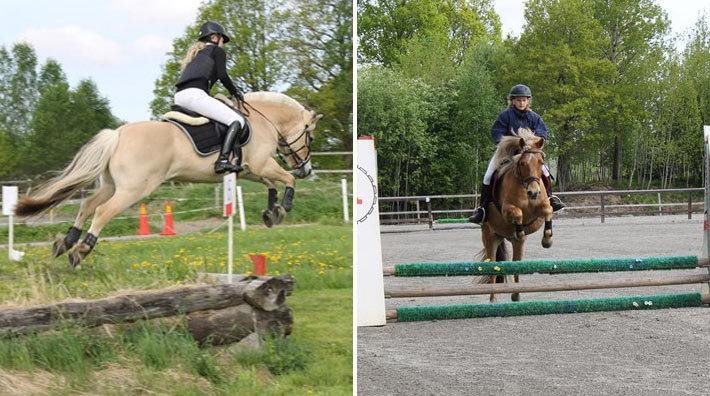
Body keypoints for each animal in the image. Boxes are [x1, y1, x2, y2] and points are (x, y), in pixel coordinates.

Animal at [15, 91, 324, 268]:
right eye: (310, 137)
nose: (307, 169)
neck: (262, 121)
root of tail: (118, 134)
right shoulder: (261, 163)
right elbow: (286, 180)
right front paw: (284, 207)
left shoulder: (250, 168)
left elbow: (271, 184)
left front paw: (272, 213)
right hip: (134, 189)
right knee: (102, 211)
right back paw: (80, 250)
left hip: (113, 185)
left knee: (87, 205)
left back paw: (65, 242)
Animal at [478, 128, 556, 302]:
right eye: (522, 163)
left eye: (541, 162)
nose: (533, 193)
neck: (523, 185)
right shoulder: (507, 210)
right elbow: (518, 213)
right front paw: (519, 230)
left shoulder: (541, 209)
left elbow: (548, 210)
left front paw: (547, 240)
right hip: (490, 236)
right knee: (493, 267)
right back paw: (493, 300)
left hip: (516, 245)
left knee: (516, 263)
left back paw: (516, 295)